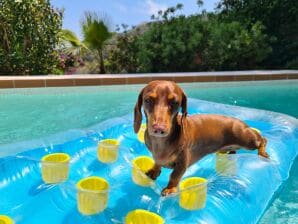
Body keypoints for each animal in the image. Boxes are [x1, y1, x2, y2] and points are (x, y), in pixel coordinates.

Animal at [134, 80, 268, 196]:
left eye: (175, 102)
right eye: (148, 100)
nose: (159, 129)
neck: (160, 143)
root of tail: (241, 122)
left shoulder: (182, 162)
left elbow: (174, 176)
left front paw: (170, 188)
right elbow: (157, 162)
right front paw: (154, 170)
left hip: (247, 140)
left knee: (263, 140)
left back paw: (263, 152)